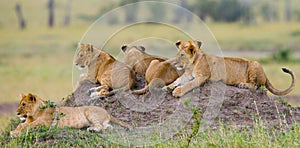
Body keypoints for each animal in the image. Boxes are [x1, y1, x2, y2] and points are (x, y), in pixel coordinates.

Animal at [166, 40, 296, 97]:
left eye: (182, 55)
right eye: (178, 53)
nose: (174, 63)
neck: (191, 64)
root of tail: (266, 75)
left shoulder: (203, 76)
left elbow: (189, 84)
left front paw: (177, 91)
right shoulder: (187, 75)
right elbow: (178, 80)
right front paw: (168, 87)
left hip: (255, 64)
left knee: (256, 86)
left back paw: (243, 85)